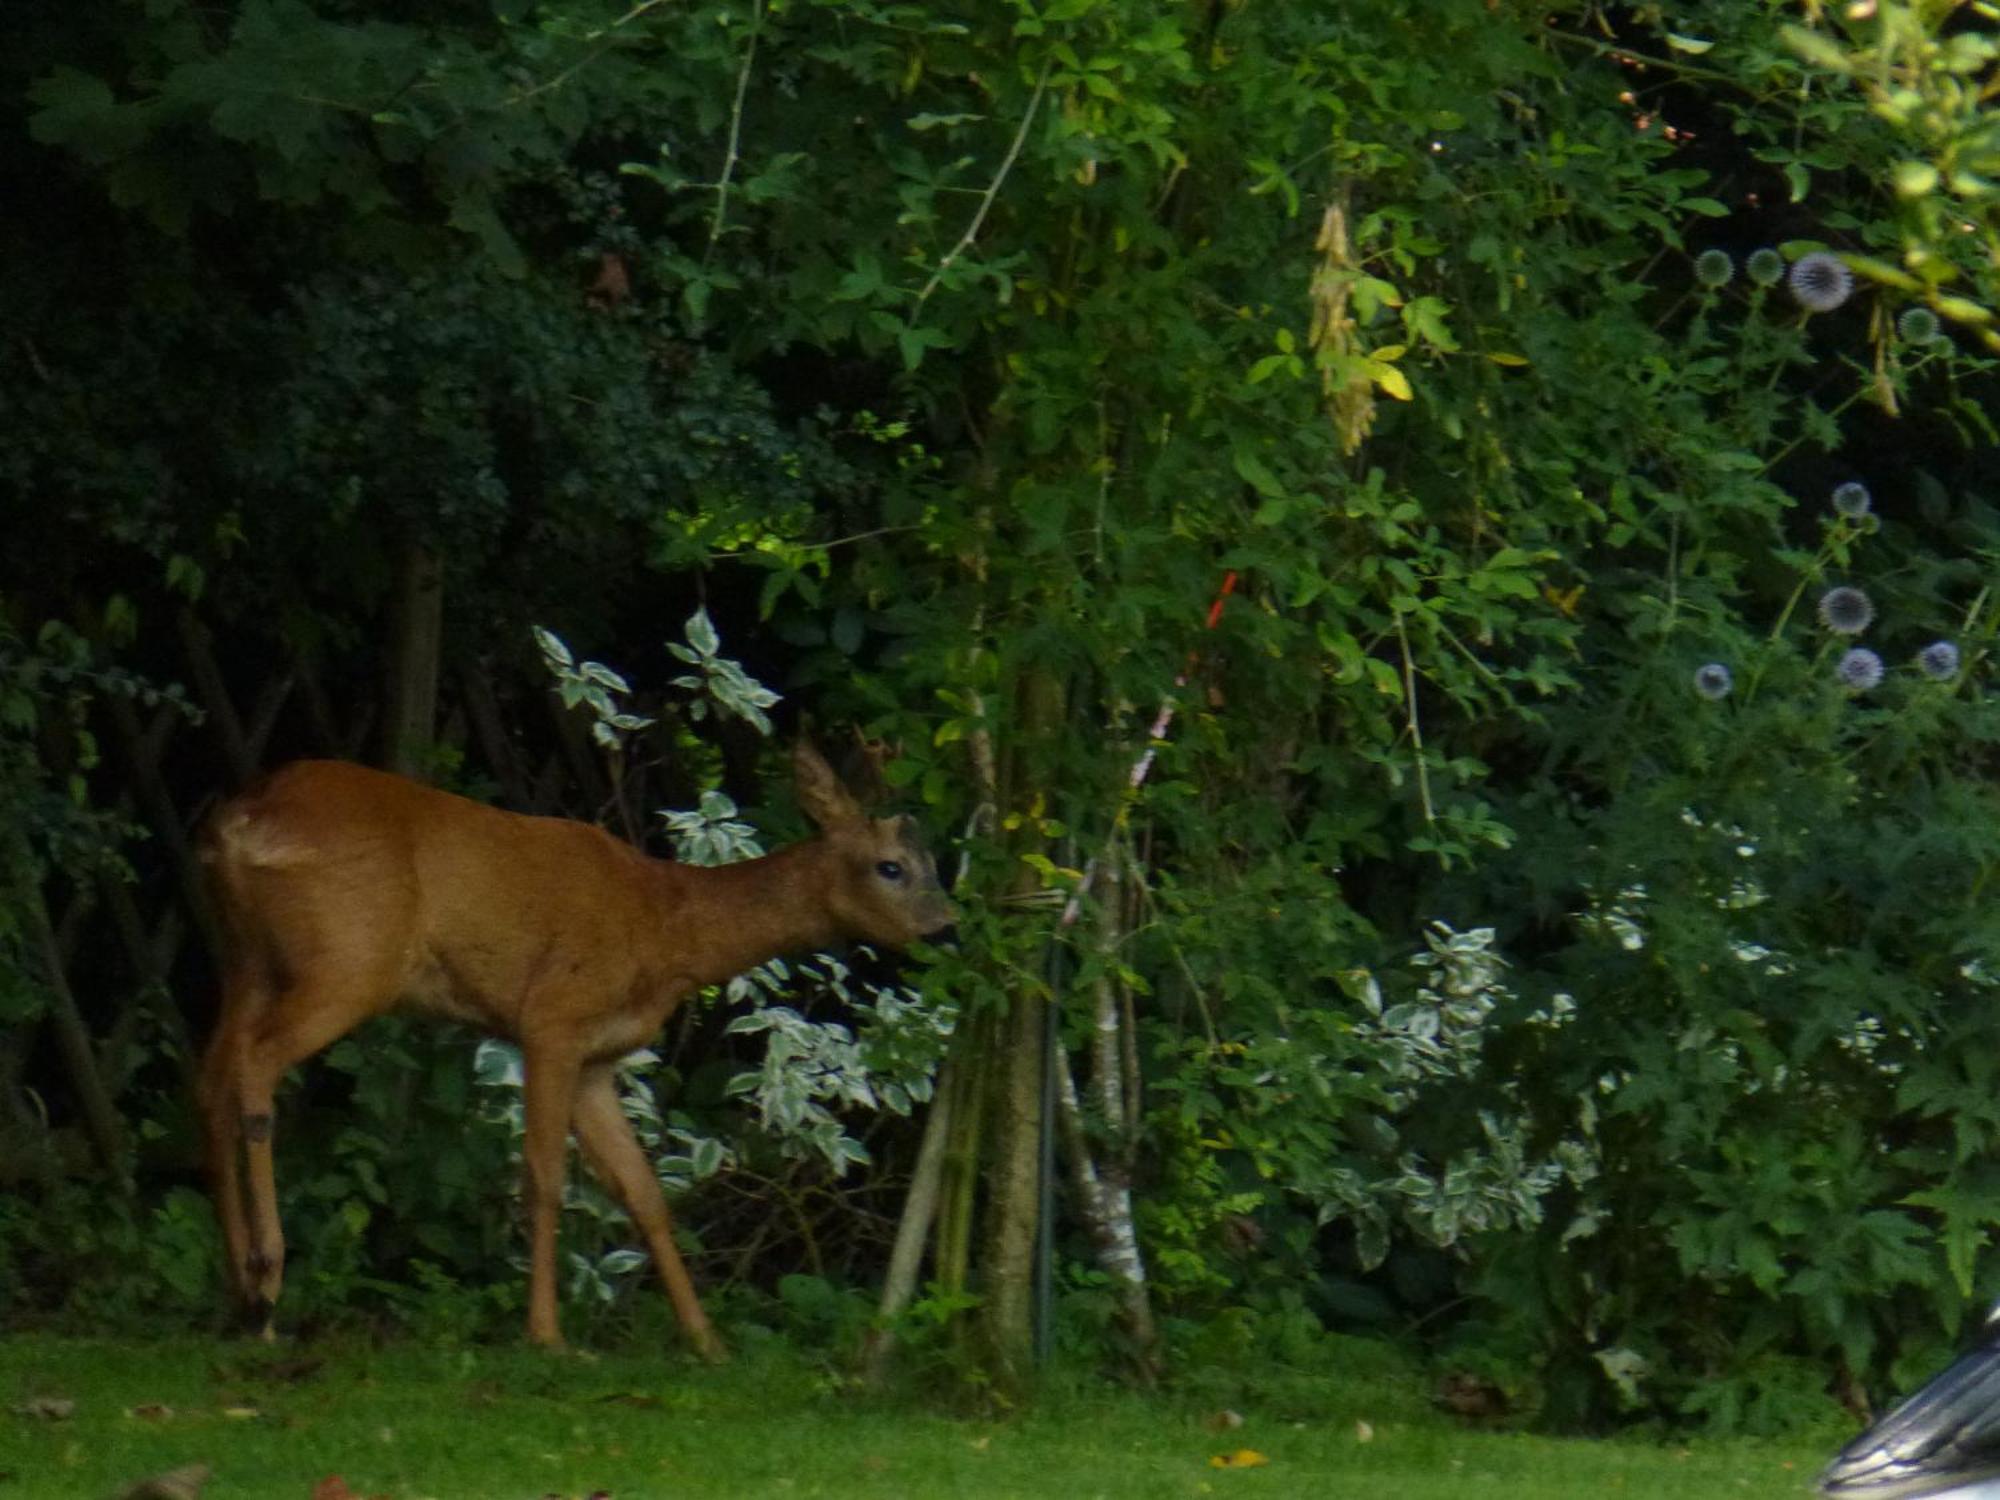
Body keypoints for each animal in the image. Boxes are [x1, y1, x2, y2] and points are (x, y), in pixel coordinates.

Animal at [191, 748, 956, 1368]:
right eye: (891, 867)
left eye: (932, 864)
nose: (947, 928)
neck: (666, 930)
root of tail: (241, 823)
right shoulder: (552, 1019)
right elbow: (544, 1178)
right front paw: (549, 1336)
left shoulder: (597, 1059)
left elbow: (643, 1191)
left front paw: (706, 1341)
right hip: (350, 957)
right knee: (255, 1063)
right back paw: (265, 1284)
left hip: (245, 956)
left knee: (209, 1072)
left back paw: (235, 1288)